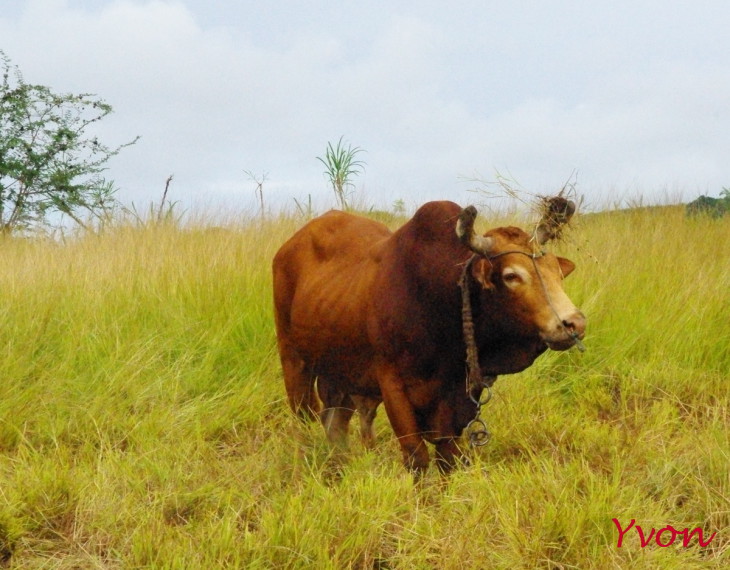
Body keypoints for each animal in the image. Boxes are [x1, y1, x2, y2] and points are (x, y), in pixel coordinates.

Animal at [270, 200, 584, 474]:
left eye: (557, 272)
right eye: (511, 276)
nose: (574, 324)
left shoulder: (457, 399)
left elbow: (448, 457)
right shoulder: (392, 385)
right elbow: (416, 456)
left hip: (340, 373)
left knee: (335, 423)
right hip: (294, 362)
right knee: (304, 419)